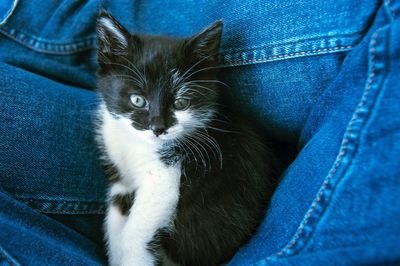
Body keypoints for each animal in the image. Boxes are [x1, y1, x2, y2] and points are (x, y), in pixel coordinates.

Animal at [96, 10, 276, 266]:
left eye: (181, 102)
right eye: (137, 100)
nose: (158, 128)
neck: (136, 143)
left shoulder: (165, 175)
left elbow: (136, 230)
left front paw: (131, 257)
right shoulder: (121, 179)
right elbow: (115, 218)